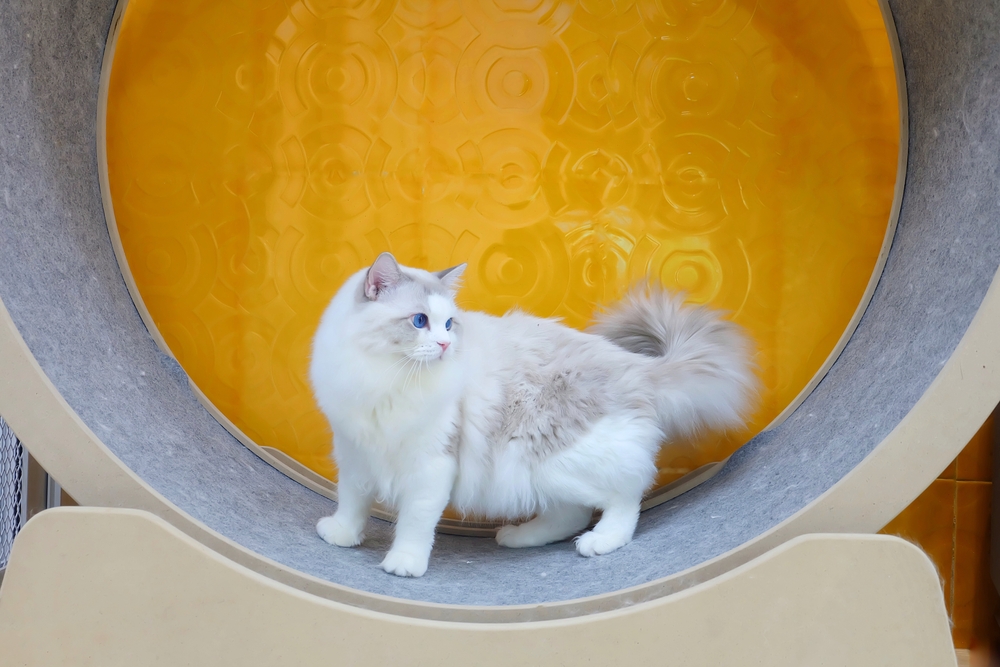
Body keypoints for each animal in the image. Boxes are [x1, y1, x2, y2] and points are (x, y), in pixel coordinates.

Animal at [308, 253, 752, 576]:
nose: (446, 345)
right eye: (420, 321)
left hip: (564, 461)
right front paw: (341, 535)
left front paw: (404, 564)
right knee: (571, 514)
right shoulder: (354, 453)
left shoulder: (431, 467)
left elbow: (415, 523)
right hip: (544, 473)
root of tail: (639, 366)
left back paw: (600, 541)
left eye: (448, 324)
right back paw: (518, 537)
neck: (387, 379)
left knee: (626, 497)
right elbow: (351, 501)